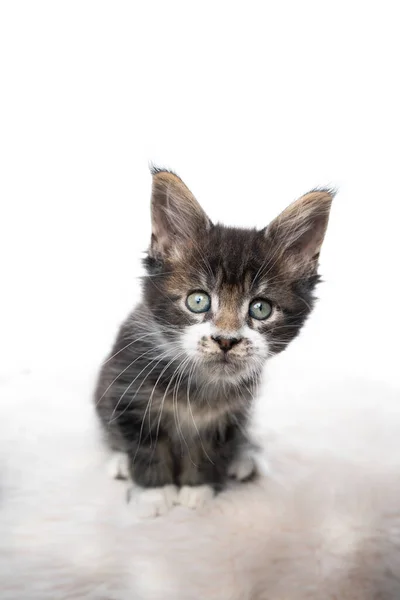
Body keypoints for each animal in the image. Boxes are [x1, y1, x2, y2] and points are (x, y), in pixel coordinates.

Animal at [94, 168, 334, 516]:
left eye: (260, 308)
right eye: (198, 301)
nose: (226, 340)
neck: (197, 386)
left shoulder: (230, 414)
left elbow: (207, 450)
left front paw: (198, 489)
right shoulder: (130, 393)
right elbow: (146, 447)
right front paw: (154, 493)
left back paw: (243, 457)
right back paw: (120, 461)